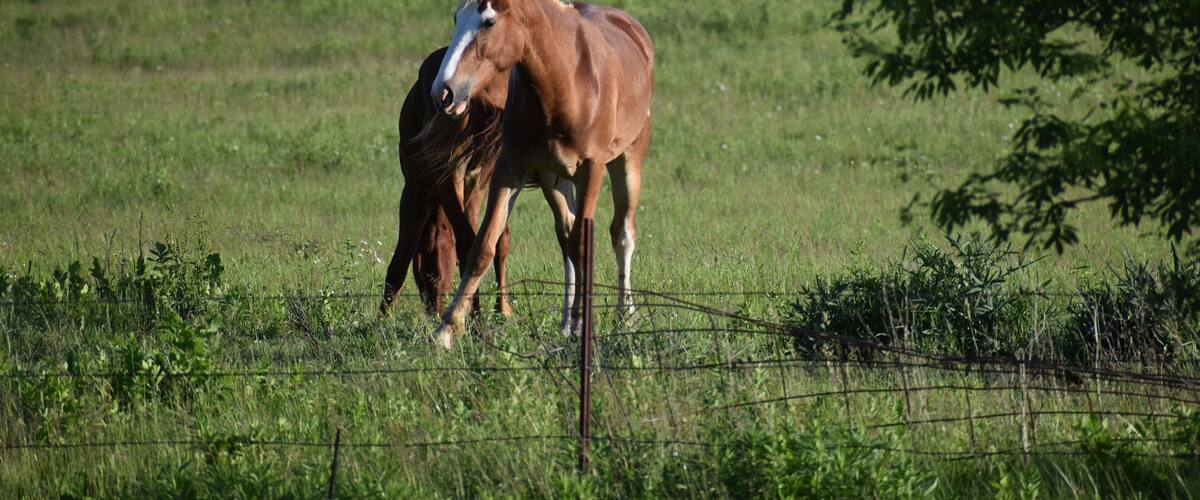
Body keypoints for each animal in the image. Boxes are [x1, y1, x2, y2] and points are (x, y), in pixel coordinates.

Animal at [381, 46, 514, 317]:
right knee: (486, 241)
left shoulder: (415, 190)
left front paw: (380, 320)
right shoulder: (474, 189)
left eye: (428, 273)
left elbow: (400, 260)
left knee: (466, 244)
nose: (433, 308)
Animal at [428, 0, 654, 347]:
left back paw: (624, 316)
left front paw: (586, 324)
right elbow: (483, 246)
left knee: (621, 234)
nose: (443, 93)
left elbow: (584, 245)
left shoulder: (591, 170)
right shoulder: (510, 169)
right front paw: (446, 330)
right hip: (555, 180)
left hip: (627, 162)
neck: (564, 81)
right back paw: (567, 322)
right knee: (566, 234)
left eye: (489, 23)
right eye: (456, 18)